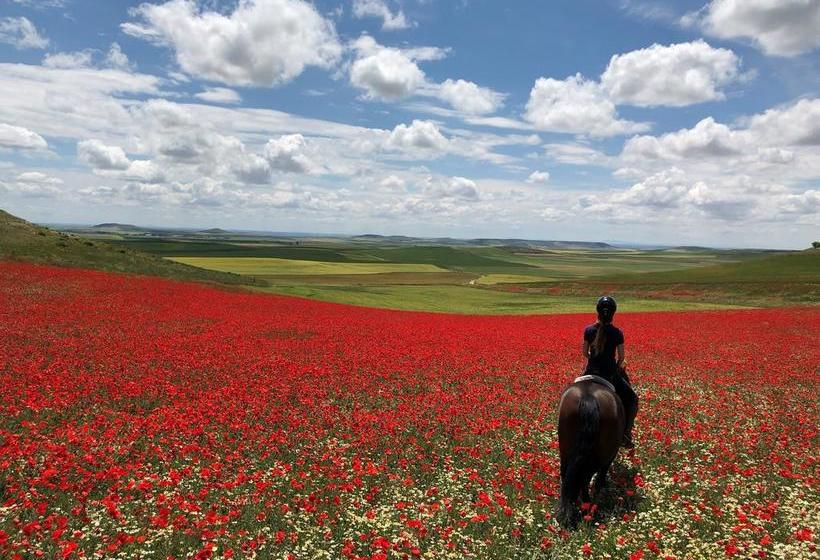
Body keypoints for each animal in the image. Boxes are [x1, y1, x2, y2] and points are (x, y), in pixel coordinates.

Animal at [556, 374, 628, 528]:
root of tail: (588, 397)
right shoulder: (610, 455)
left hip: (565, 448)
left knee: (567, 474)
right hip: (601, 454)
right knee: (585, 476)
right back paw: (587, 507)